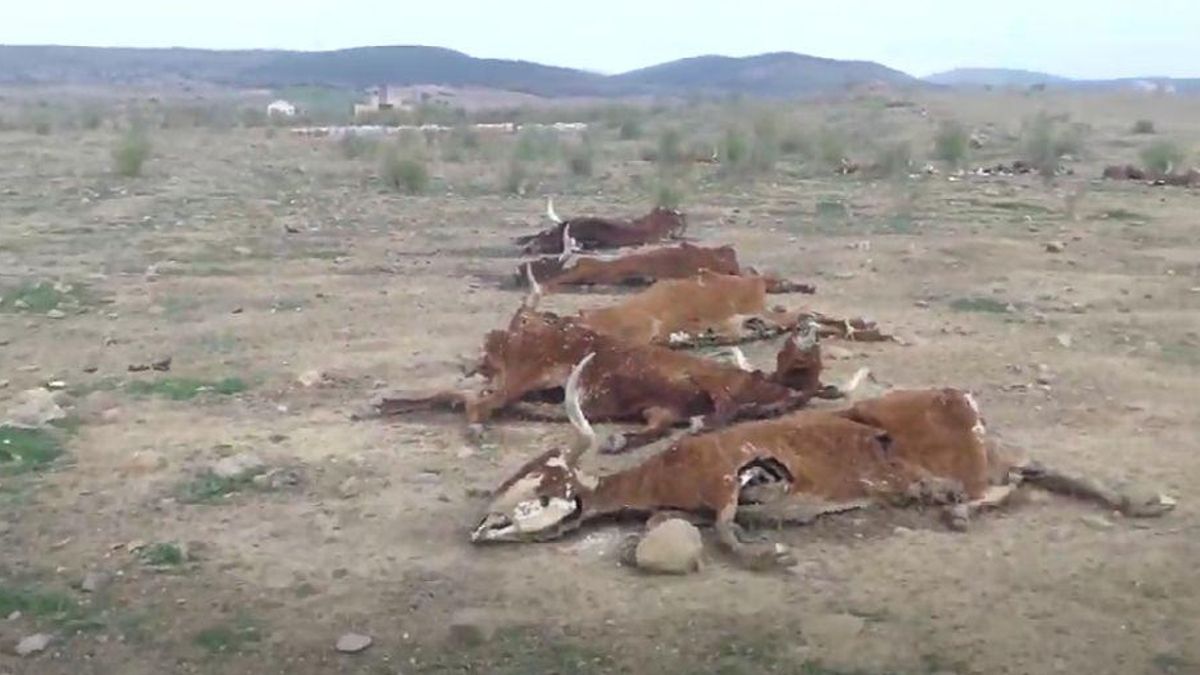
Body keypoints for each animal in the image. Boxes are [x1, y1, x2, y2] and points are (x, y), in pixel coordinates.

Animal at [468, 354, 1177, 570]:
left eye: (538, 489)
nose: (481, 528)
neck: (663, 474)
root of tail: (962, 400)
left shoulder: (729, 475)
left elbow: (728, 532)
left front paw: (771, 552)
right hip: (993, 456)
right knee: (1037, 471)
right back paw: (1143, 500)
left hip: (977, 458)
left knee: (1015, 480)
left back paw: (957, 510)